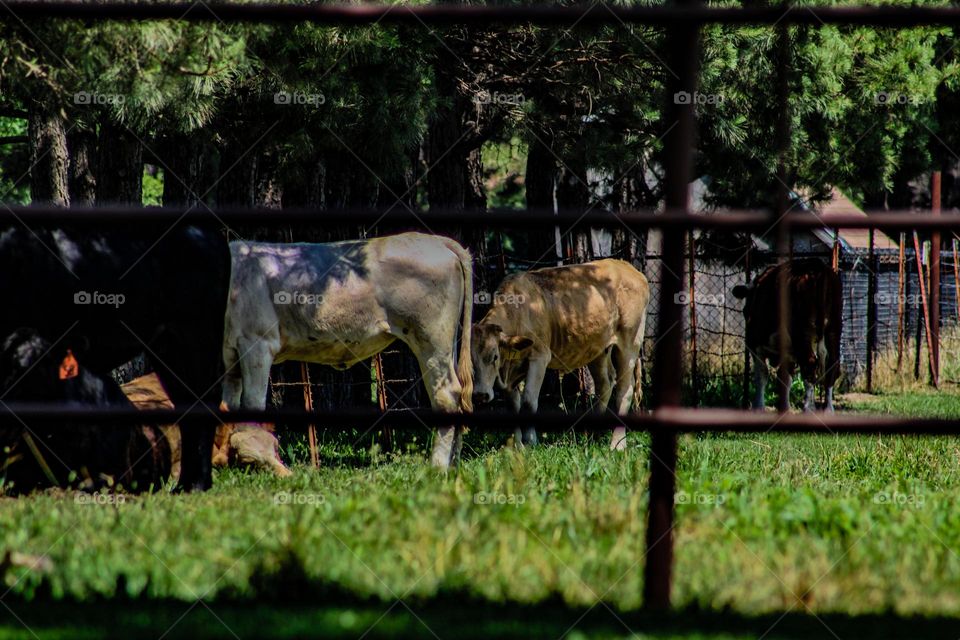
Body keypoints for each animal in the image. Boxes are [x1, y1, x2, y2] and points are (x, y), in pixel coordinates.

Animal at [221, 232, 473, 469]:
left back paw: (438, 467)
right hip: (447, 343)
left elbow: (252, 402)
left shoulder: (257, 343)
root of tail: (436, 240)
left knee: (446, 395)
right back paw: (454, 463)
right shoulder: (230, 354)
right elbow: (229, 403)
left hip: (431, 338)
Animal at [471, 259, 650, 450]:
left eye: (494, 357)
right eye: (471, 362)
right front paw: (517, 446)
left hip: (630, 343)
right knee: (605, 384)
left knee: (625, 390)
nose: (480, 395)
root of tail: (627, 267)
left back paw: (617, 444)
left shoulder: (540, 357)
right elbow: (513, 406)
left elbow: (528, 401)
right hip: (598, 349)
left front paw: (530, 442)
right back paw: (593, 437)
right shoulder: (510, 373)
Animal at [732, 258, 842, 412]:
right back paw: (828, 409)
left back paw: (808, 408)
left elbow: (762, 374)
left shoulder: (754, 343)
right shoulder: (788, 351)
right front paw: (784, 407)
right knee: (832, 364)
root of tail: (817, 266)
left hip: (802, 333)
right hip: (833, 328)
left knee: (809, 365)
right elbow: (785, 378)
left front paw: (759, 406)